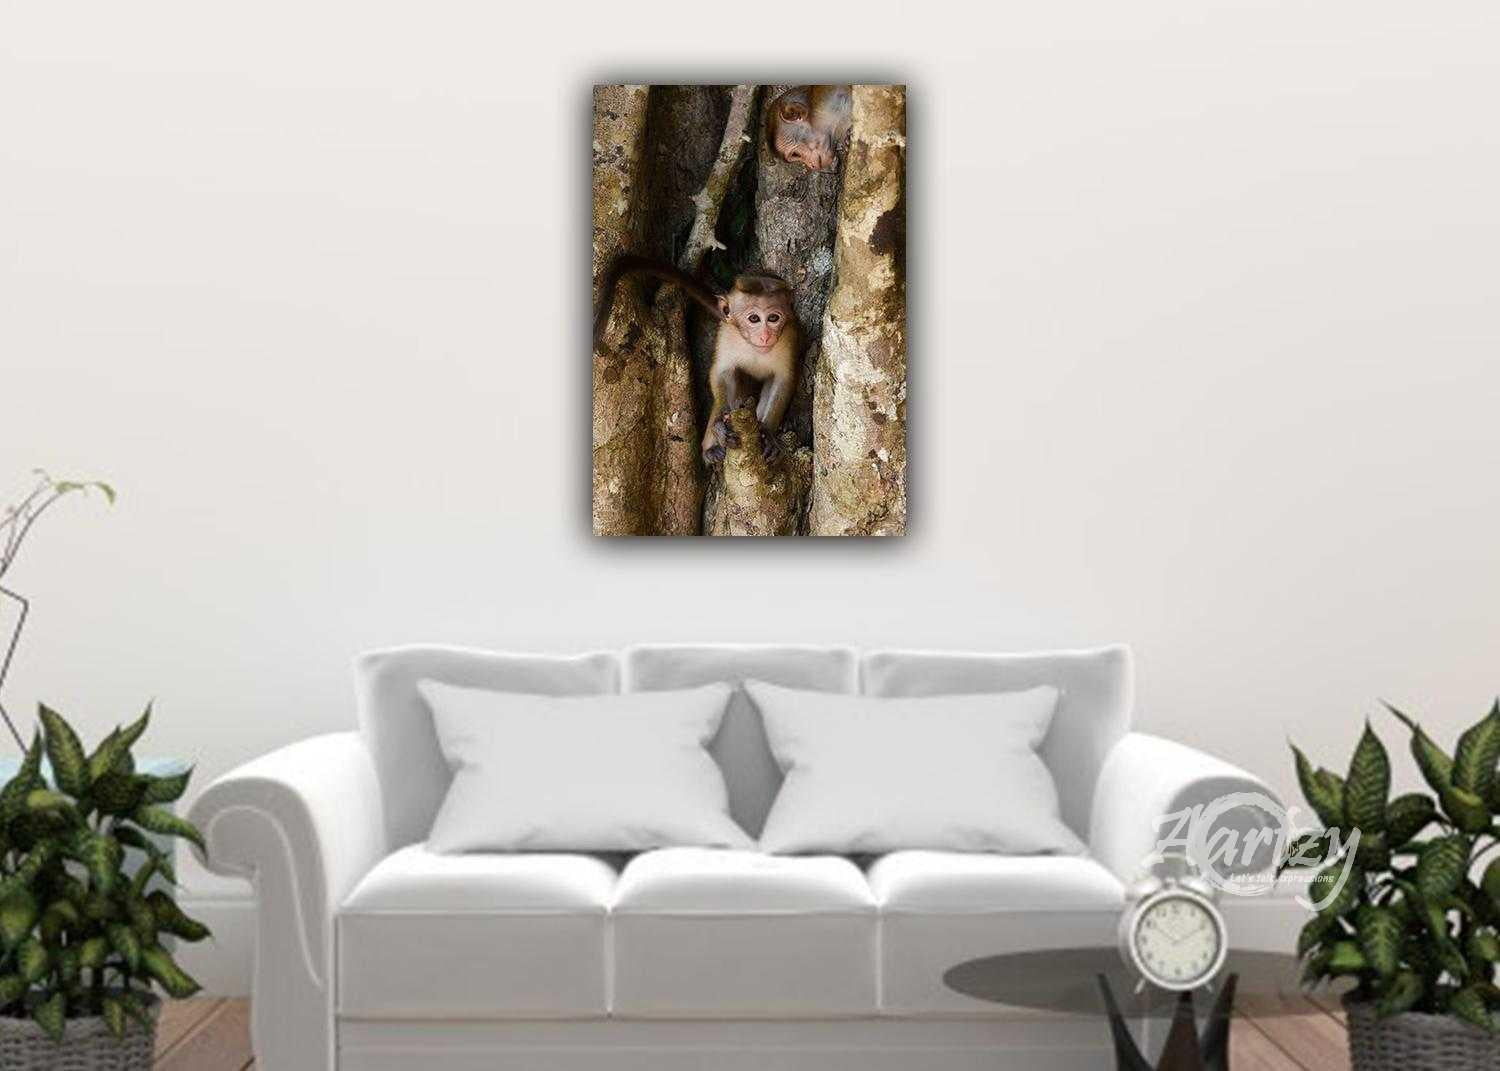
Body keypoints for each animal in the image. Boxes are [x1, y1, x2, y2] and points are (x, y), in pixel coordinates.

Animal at [593, 255, 799, 466]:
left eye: (773, 318)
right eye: (754, 319)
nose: (766, 336)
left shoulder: (788, 337)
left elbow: (782, 380)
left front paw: (768, 433)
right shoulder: (726, 334)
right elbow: (722, 373)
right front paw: (720, 425)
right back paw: (711, 449)